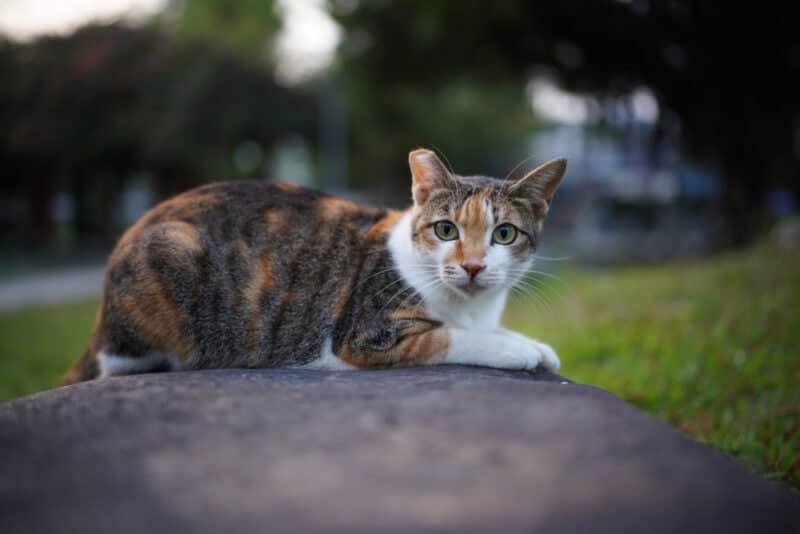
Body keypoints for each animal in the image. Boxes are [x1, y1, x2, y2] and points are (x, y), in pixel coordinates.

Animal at [62, 150, 564, 386]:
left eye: (504, 234)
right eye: (446, 230)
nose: (474, 266)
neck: (469, 305)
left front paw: (534, 343)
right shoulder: (363, 334)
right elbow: (450, 337)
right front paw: (517, 349)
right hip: (170, 257)